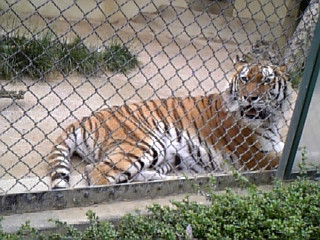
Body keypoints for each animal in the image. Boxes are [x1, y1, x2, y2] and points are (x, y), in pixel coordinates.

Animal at [47, 55, 292, 188]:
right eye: (244, 79)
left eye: (266, 81)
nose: (250, 97)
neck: (271, 118)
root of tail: (84, 119)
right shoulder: (254, 157)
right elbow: (287, 160)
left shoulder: (274, 144)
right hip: (144, 142)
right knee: (96, 172)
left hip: (164, 154)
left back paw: (155, 179)